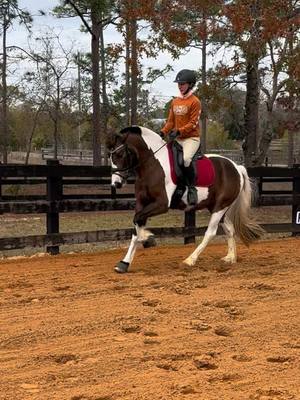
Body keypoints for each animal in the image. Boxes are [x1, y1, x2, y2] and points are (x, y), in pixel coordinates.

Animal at [106, 126, 264, 274]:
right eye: (110, 156)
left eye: (120, 154)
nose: (116, 183)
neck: (152, 164)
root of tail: (236, 167)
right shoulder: (141, 203)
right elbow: (136, 226)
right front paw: (124, 263)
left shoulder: (161, 204)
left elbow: (137, 221)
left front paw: (147, 238)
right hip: (217, 207)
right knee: (229, 229)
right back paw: (230, 258)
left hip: (220, 207)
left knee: (210, 233)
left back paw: (190, 260)